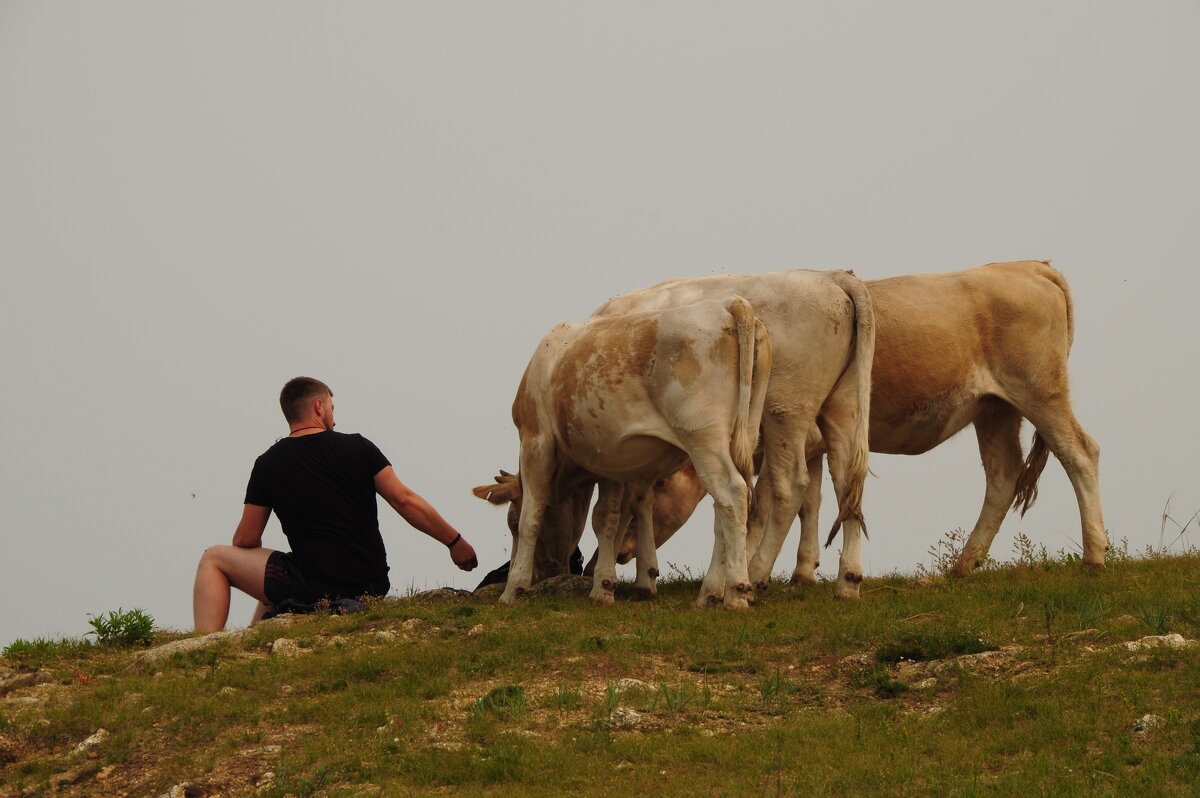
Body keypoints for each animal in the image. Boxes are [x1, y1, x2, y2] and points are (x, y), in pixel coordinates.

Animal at [492, 295, 772, 607]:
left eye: (511, 523)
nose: (546, 574)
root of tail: (729, 303)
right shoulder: (613, 460)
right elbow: (617, 515)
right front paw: (618, 585)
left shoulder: (535, 438)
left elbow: (533, 513)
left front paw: (513, 588)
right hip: (744, 432)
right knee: (728, 503)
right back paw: (710, 592)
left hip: (703, 435)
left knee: (731, 494)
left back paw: (734, 591)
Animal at [590, 261, 1104, 578]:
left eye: (660, 486)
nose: (608, 556)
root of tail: (1026, 265)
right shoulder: (808, 443)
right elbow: (813, 499)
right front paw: (803, 571)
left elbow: (774, 499)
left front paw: (755, 566)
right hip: (994, 409)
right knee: (1001, 476)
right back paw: (963, 564)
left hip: (1040, 392)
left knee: (1080, 453)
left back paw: (1095, 555)